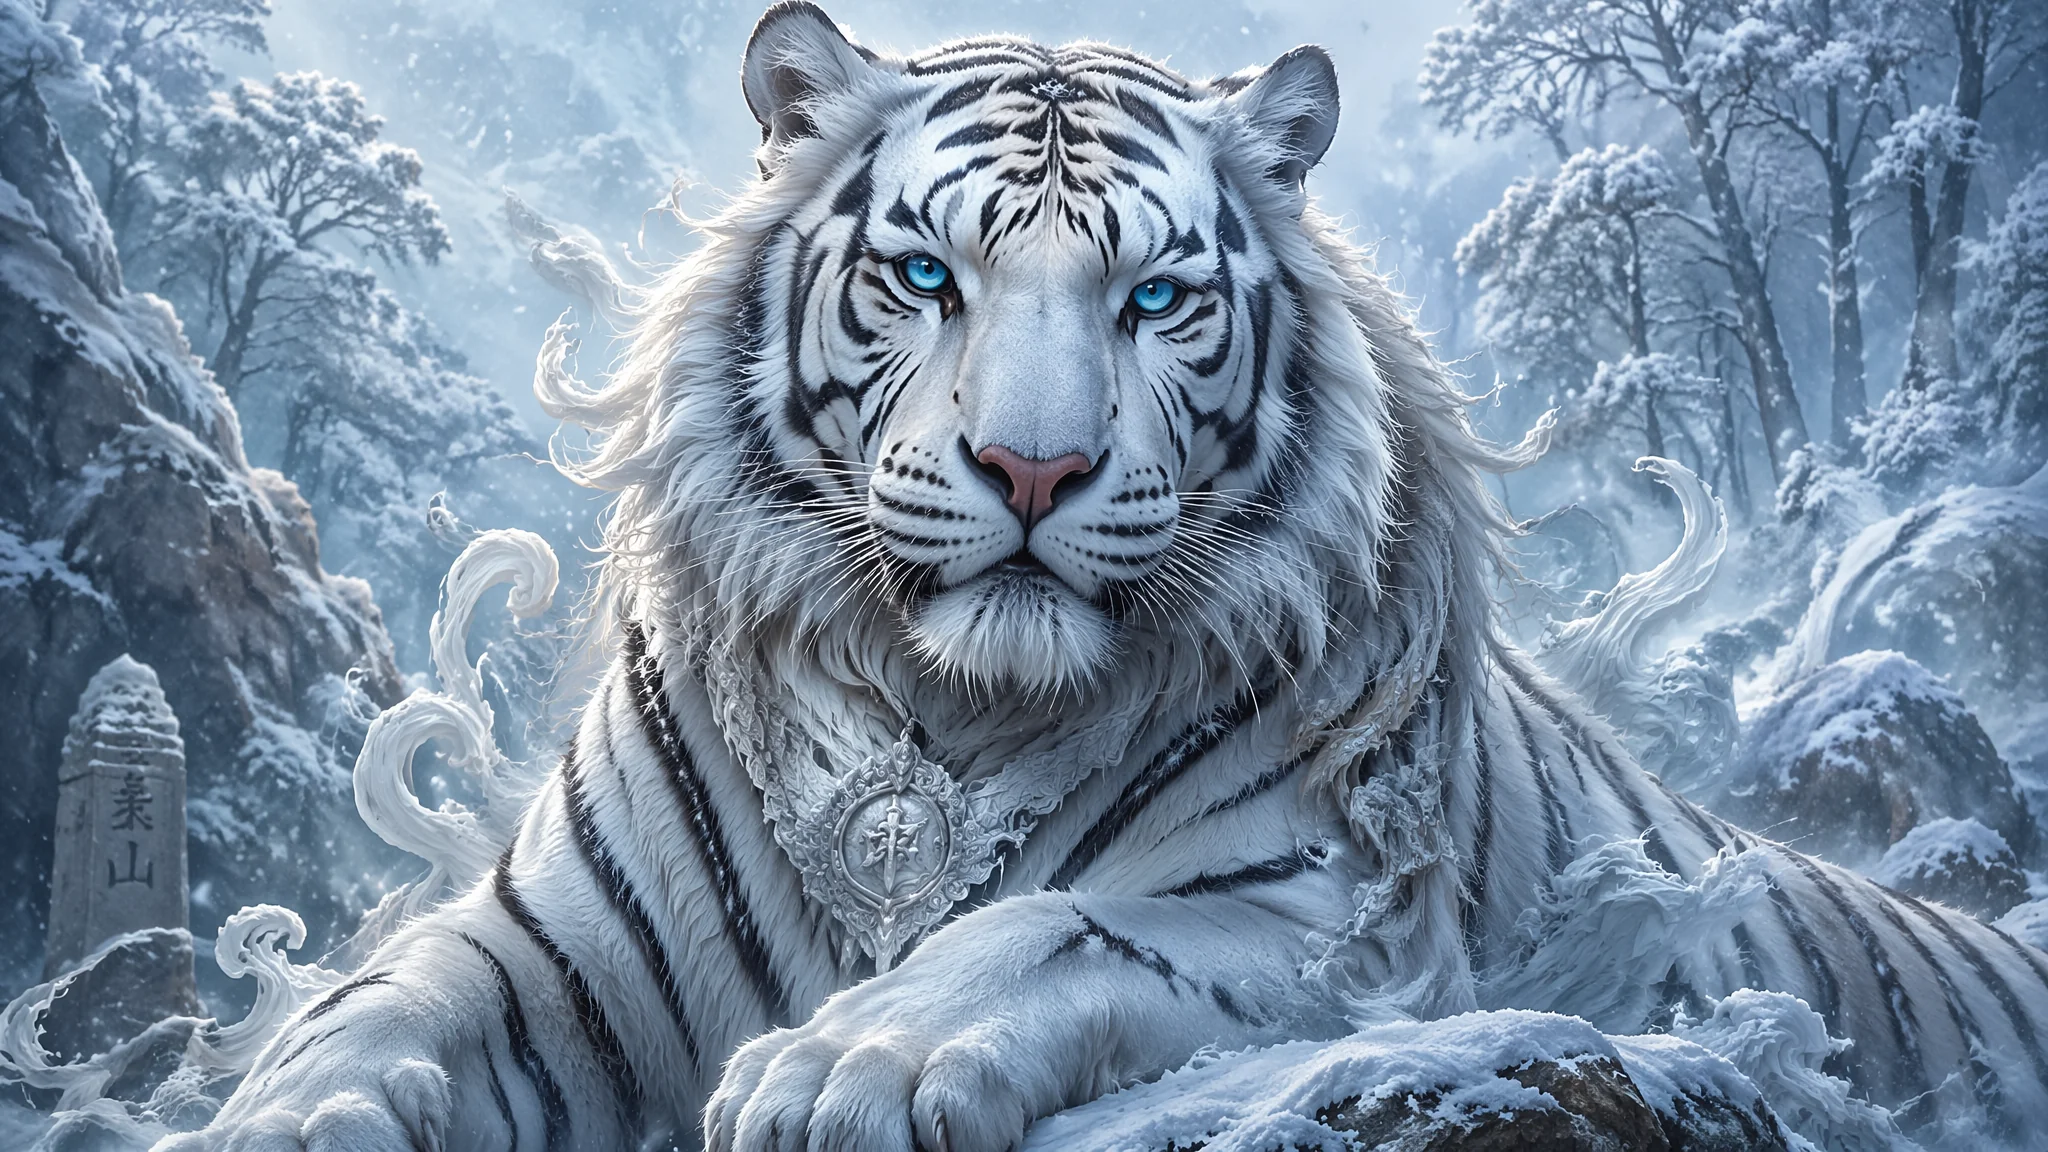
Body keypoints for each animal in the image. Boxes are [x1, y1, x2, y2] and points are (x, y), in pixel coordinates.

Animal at [163, 3, 2048, 1150]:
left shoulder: (1324, 919)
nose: (1033, 469)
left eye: (1152, 297)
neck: (949, 713)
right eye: (926, 275)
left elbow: (1047, 923)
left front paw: (845, 1059)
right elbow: (392, 993)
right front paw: (286, 1107)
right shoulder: (558, 927)